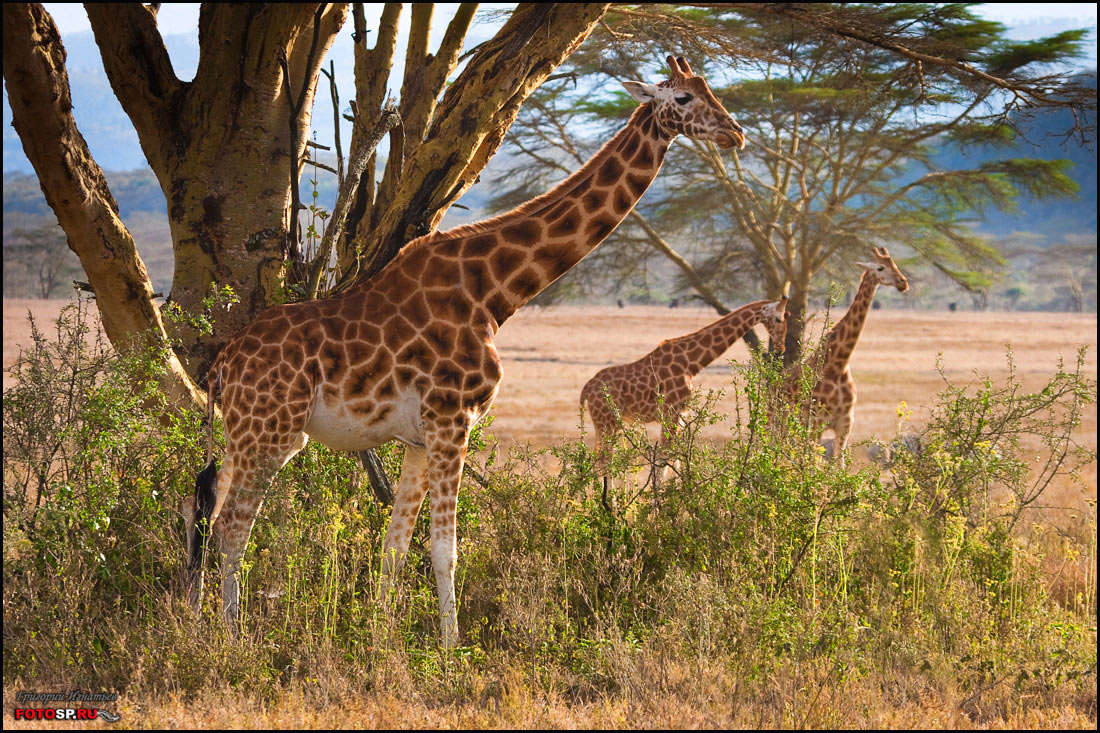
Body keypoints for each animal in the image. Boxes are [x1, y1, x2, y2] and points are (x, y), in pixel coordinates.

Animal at [184, 55, 748, 647]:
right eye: (683, 98)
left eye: (709, 88)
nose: (735, 133)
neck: (495, 294)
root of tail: (222, 366)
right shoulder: (453, 420)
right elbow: (445, 550)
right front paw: (451, 650)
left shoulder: (417, 438)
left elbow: (394, 547)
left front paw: (381, 642)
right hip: (273, 432)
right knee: (231, 526)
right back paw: (231, 639)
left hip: (241, 432)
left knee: (204, 509)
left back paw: (200, 623)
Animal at [783, 245, 910, 462]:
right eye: (880, 268)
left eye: (894, 264)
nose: (903, 283)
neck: (838, 364)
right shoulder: (817, 421)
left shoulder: (845, 424)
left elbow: (838, 465)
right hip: (777, 418)